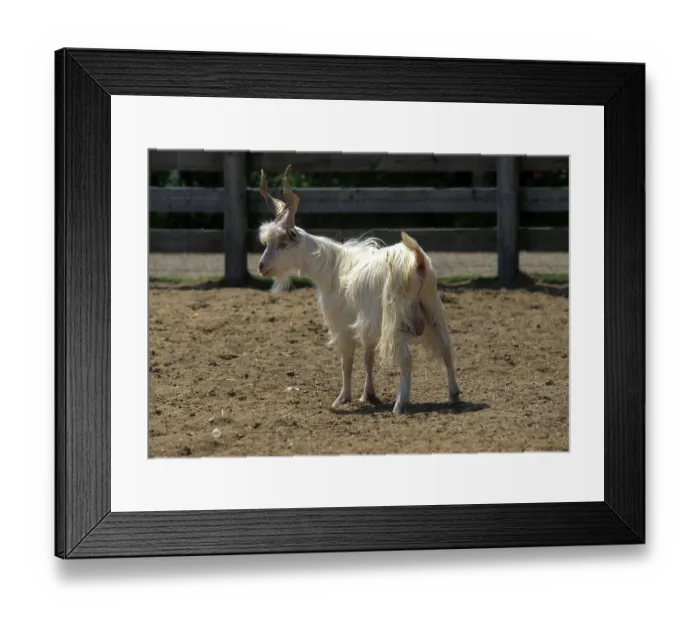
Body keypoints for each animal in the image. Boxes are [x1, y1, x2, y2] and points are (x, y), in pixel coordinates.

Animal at [257, 165, 461, 414]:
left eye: (283, 243)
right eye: (266, 243)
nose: (261, 266)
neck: (334, 268)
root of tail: (417, 261)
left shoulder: (343, 324)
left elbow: (347, 360)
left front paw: (343, 398)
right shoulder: (366, 325)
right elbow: (368, 357)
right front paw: (368, 394)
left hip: (396, 318)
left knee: (406, 358)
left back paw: (400, 403)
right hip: (432, 309)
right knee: (446, 350)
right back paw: (454, 395)